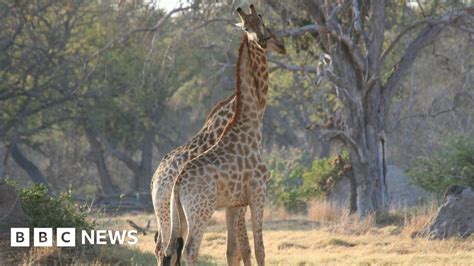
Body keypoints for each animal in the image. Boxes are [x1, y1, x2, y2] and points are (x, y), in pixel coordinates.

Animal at [162, 4, 286, 266]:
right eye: (247, 27)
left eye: (261, 21)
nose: (268, 42)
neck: (252, 126)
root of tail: (176, 185)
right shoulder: (258, 193)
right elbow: (259, 248)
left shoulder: (233, 204)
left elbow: (234, 251)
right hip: (201, 211)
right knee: (189, 249)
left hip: (179, 214)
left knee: (170, 248)